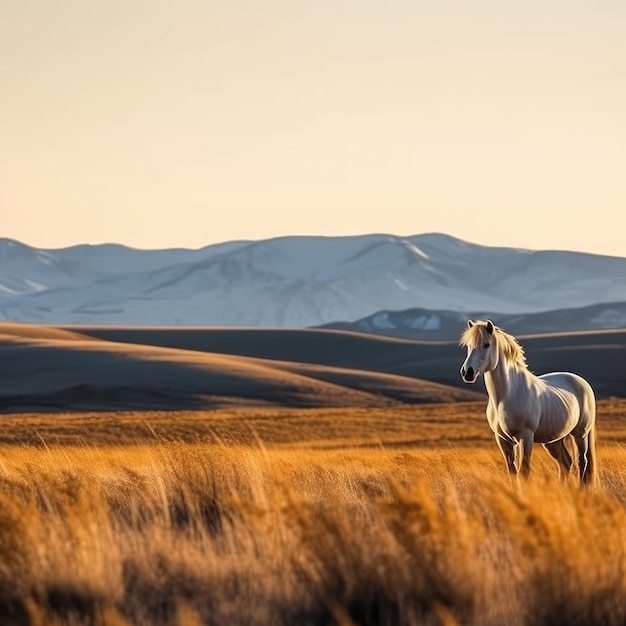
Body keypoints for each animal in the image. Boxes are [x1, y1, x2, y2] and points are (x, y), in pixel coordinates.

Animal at [458, 316, 596, 482]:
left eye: (486, 345)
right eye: (468, 346)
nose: (467, 373)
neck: (506, 396)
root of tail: (582, 382)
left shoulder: (525, 438)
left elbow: (523, 471)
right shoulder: (503, 440)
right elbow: (512, 471)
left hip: (580, 434)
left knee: (582, 462)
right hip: (554, 440)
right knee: (565, 463)